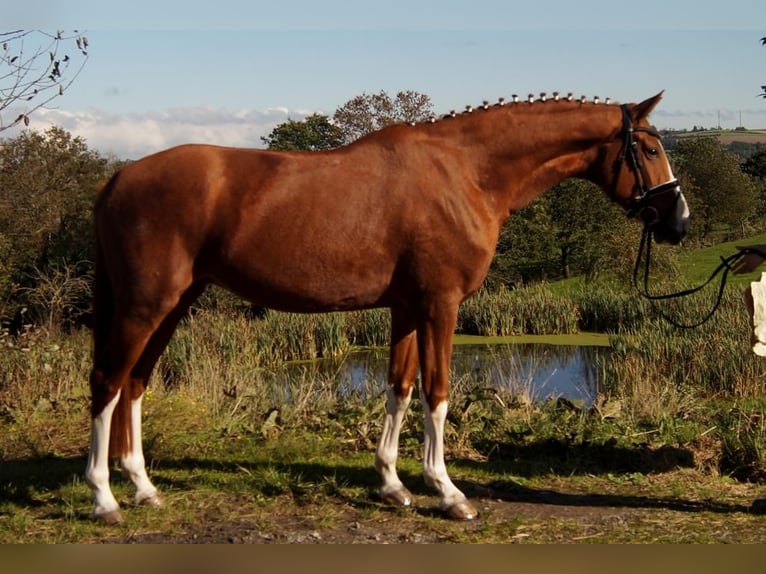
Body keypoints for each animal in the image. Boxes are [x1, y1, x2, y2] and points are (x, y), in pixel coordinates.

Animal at [87, 91, 692, 528]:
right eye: (652, 149)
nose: (679, 223)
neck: (466, 172)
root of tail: (118, 177)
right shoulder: (440, 307)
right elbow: (438, 394)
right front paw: (448, 492)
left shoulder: (405, 309)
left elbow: (398, 390)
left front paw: (393, 485)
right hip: (146, 305)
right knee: (108, 382)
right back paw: (104, 498)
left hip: (171, 305)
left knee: (135, 383)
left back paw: (143, 488)